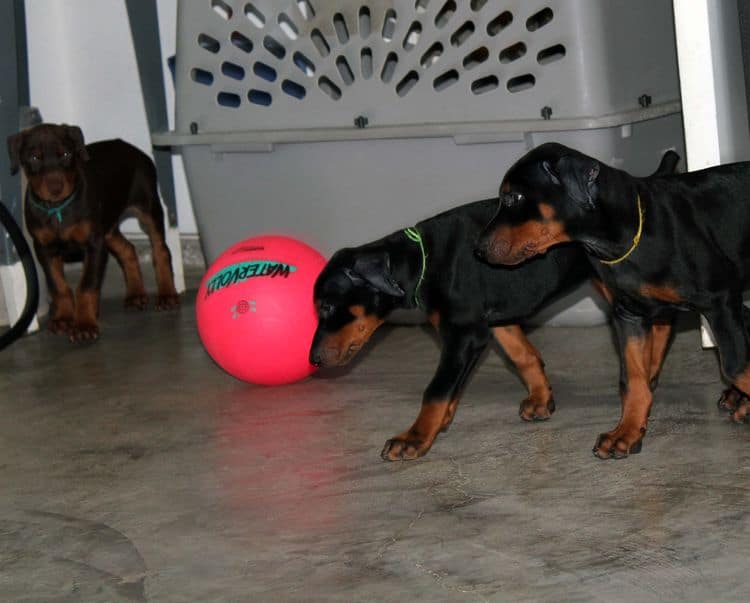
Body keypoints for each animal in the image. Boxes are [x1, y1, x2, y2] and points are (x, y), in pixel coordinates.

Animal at [6, 124, 179, 340]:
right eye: (34, 158)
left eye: (66, 154)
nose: (56, 188)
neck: (57, 208)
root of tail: (129, 146)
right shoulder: (44, 248)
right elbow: (58, 285)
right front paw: (63, 318)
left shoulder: (94, 244)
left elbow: (87, 285)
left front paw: (84, 325)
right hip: (107, 228)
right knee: (127, 250)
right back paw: (135, 294)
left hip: (147, 207)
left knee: (160, 249)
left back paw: (167, 294)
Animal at [308, 149, 680, 460]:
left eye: (326, 307)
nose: (313, 360)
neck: (423, 259)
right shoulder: (495, 322)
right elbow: (524, 357)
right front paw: (540, 400)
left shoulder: (465, 334)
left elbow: (437, 388)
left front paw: (415, 436)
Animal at [478, 142, 750, 460]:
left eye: (515, 197)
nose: (479, 250)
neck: (630, 235)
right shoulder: (628, 315)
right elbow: (632, 379)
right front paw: (626, 432)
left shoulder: (719, 301)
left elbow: (736, 365)